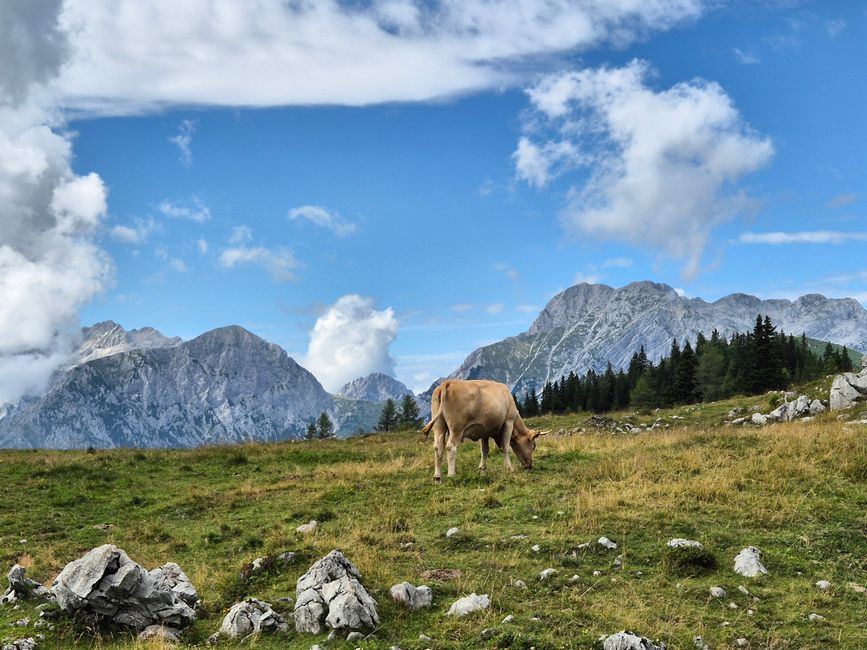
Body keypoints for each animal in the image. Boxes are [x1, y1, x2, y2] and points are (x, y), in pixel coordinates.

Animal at [420, 378, 548, 478]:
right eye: (533, 446)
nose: (529, 466)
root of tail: (448, 382)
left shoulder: (484, 430)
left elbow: (484, 450)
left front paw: (482, 469)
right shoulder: (508, 422)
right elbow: (506, 447)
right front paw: (509, 469)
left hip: (439, 427)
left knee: (438, 447)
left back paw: (437, 476)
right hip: (456, 429)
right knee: (450, 447)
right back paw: (451, 475)